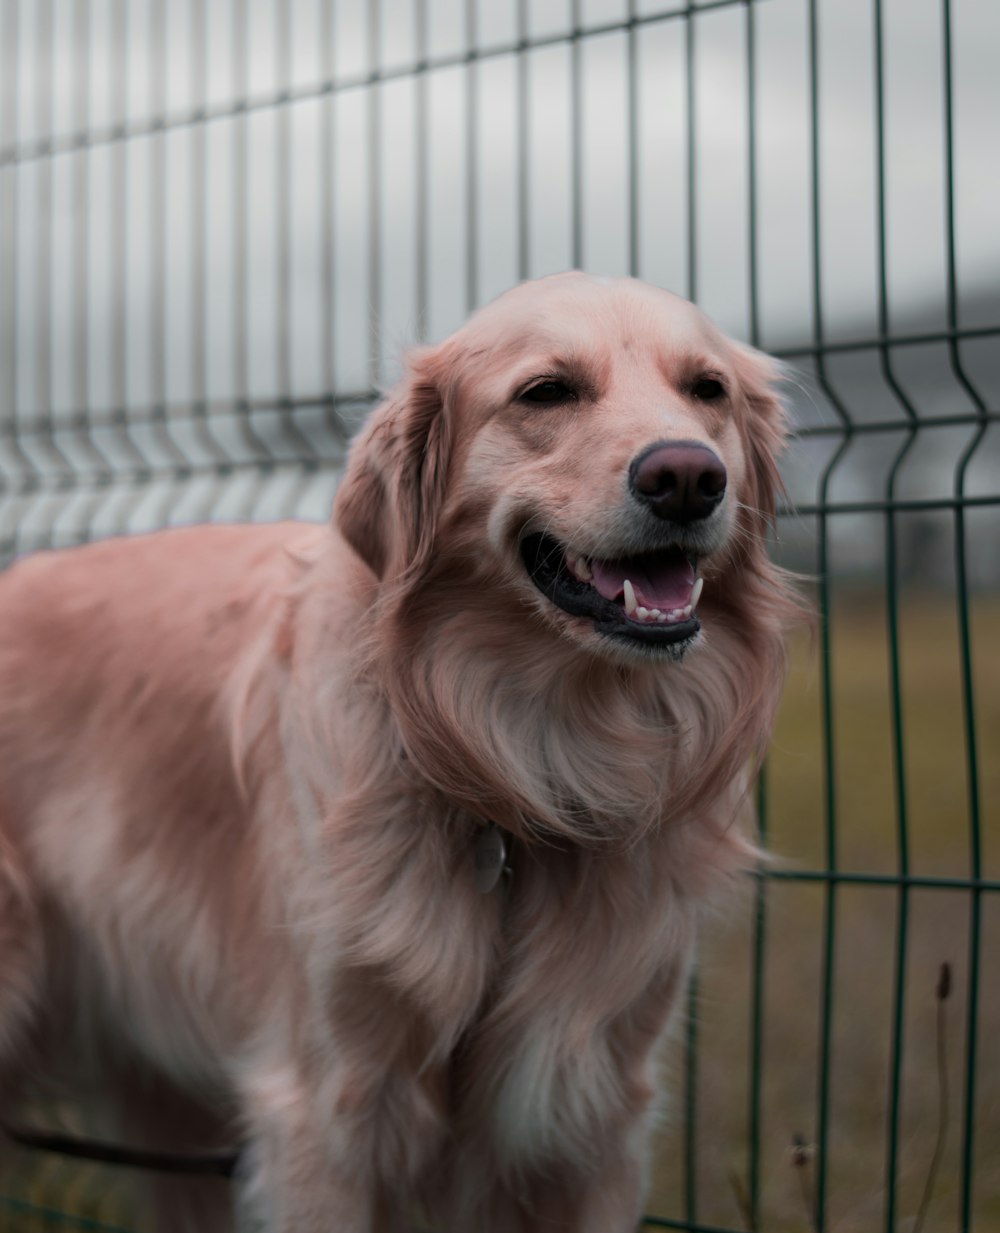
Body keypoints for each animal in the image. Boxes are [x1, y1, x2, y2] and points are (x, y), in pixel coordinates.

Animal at [0, 274, 803, 1228]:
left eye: (707, 390)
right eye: (547, 392)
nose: (687, 478)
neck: (527, 770)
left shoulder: (595, 1120)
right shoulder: (326, 1111)